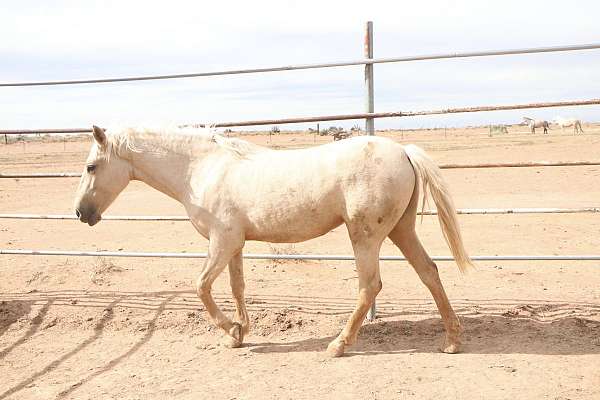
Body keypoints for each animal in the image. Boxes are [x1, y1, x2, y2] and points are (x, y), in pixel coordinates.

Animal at [74, 126, 474, 356]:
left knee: (369, 286)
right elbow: (236, 287)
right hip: (400, 230)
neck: (201, 169)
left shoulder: (221, 241)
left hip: (366, 236)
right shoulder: (234, 243)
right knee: (429, 271)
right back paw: (452, 340)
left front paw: (231, 330)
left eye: (92, 167)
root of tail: (403, 151)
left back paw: (339, 345)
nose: (80, 212)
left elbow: (201, 286)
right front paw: (238, 334)